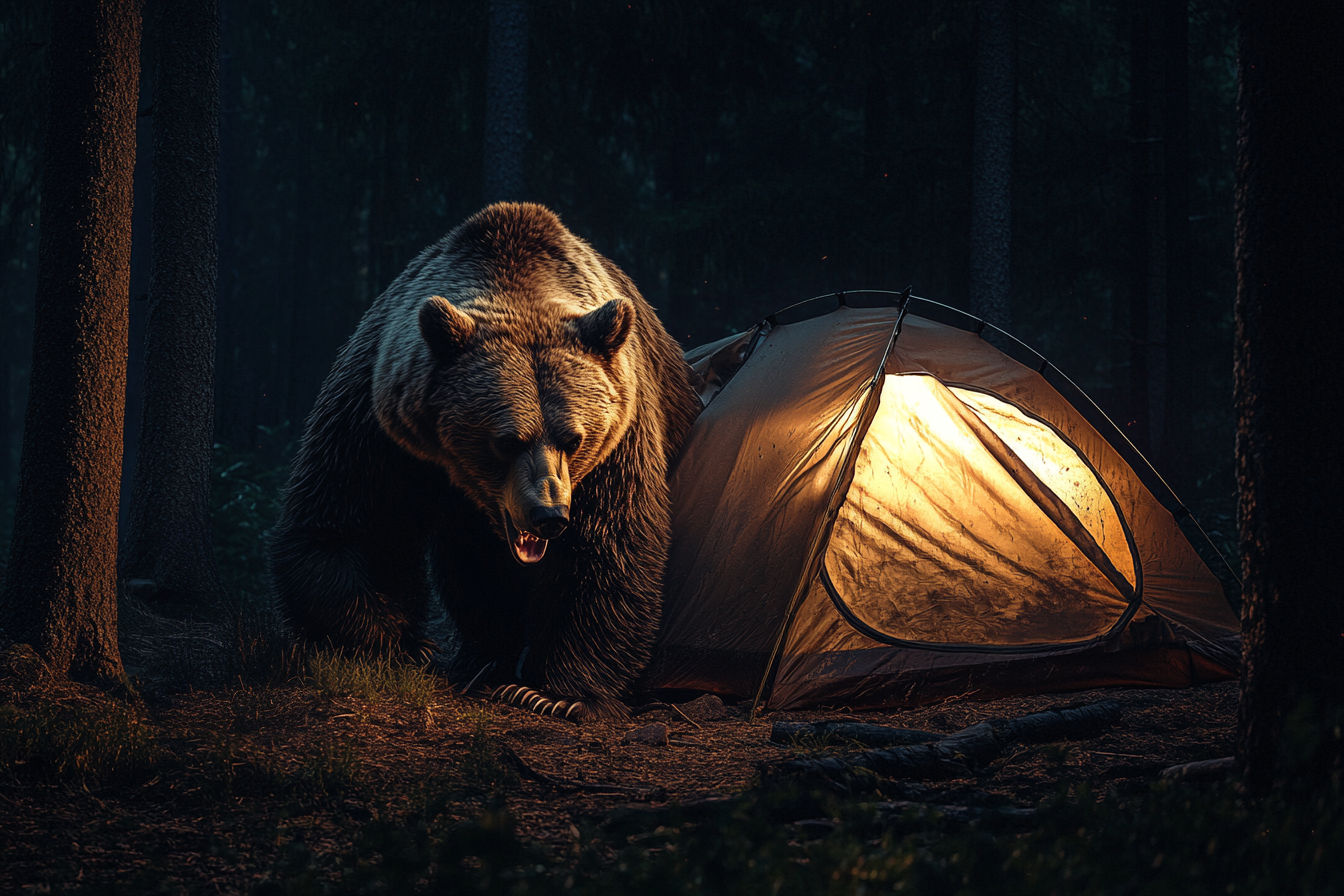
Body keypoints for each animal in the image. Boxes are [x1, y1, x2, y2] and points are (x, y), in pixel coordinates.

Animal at [267, 205, 698, 720]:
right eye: (507, 441)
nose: (549, 514)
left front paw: (555, 693)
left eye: (573, 439)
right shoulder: (383, 423)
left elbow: (608, 547)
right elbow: (350, 523)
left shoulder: (620, 438)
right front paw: (402, 644)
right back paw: (483, 656)